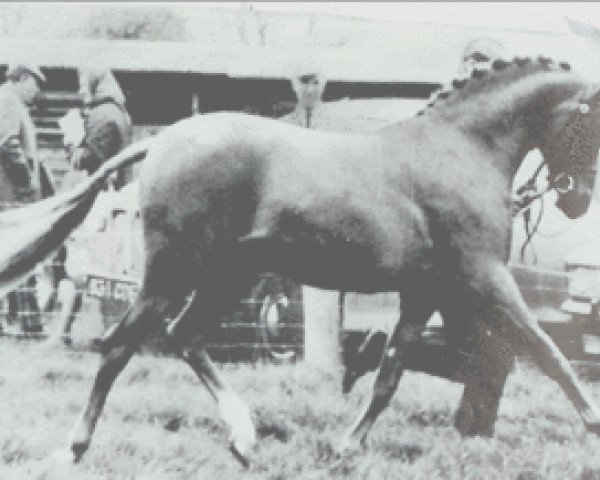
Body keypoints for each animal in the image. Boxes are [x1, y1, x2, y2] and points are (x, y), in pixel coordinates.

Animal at [50, 53, 600, 464]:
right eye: (594, 125)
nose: (578, 202)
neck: (461, 151)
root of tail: (162, 141)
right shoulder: (486, 279)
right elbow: (549, 353)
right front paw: (594, 424)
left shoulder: (424, 292)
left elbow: (391, 372)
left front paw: (347, 446)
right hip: (175, 272)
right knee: (119, 345)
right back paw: (77, 446)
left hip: (229, 276)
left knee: (183, 336)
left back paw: (244, 438)